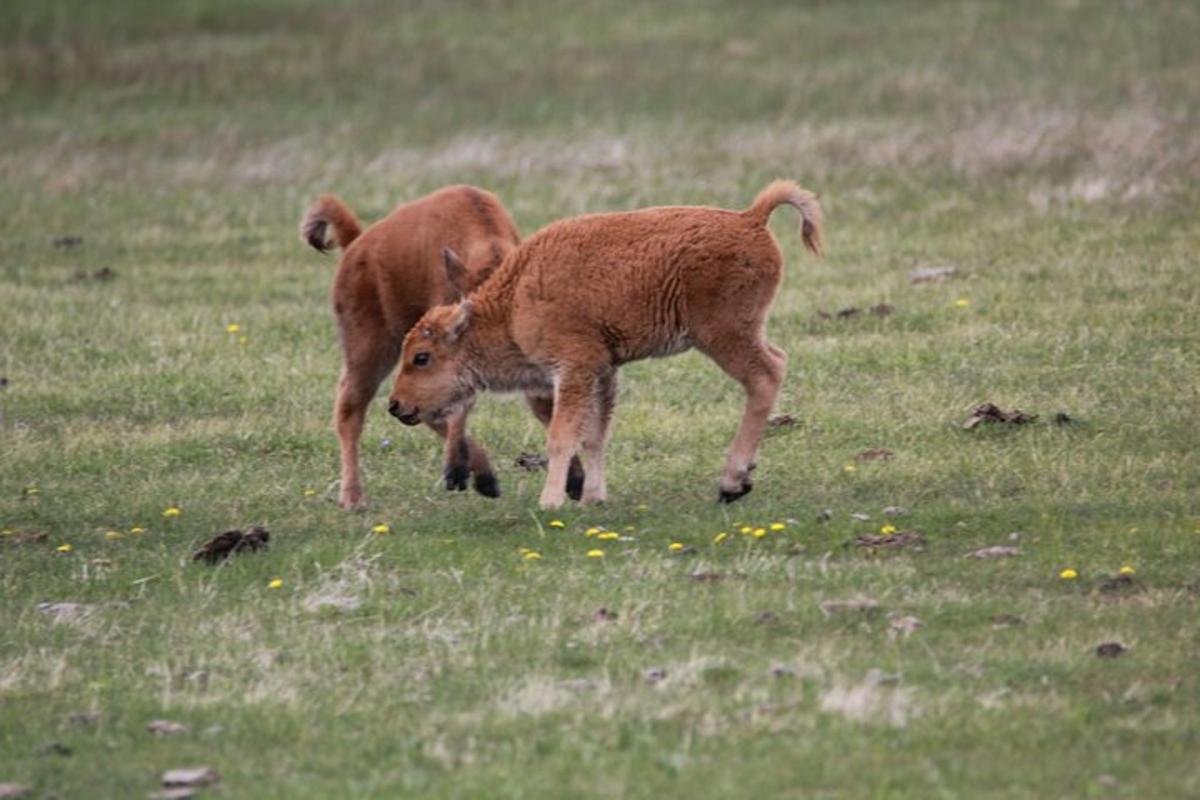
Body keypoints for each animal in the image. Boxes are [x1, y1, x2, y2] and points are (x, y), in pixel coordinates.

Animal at [298, 185, 520, 510]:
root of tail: (356, 244)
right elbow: (457, 404)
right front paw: (456, 471)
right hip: (369, 351)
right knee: (351, 410)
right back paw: (353, 498)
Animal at [388, 179, 820, 506]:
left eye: (422, 357)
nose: (395, 405)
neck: (513, 303)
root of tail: (750, 219)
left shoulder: (574, 368)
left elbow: (562, 435)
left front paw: (550, 502)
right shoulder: (603, 370)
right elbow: (595, 433)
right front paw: (593, 498)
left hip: (723, 335)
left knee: (766, 376)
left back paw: (731, 482)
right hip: (743, 332)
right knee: (776, 361)